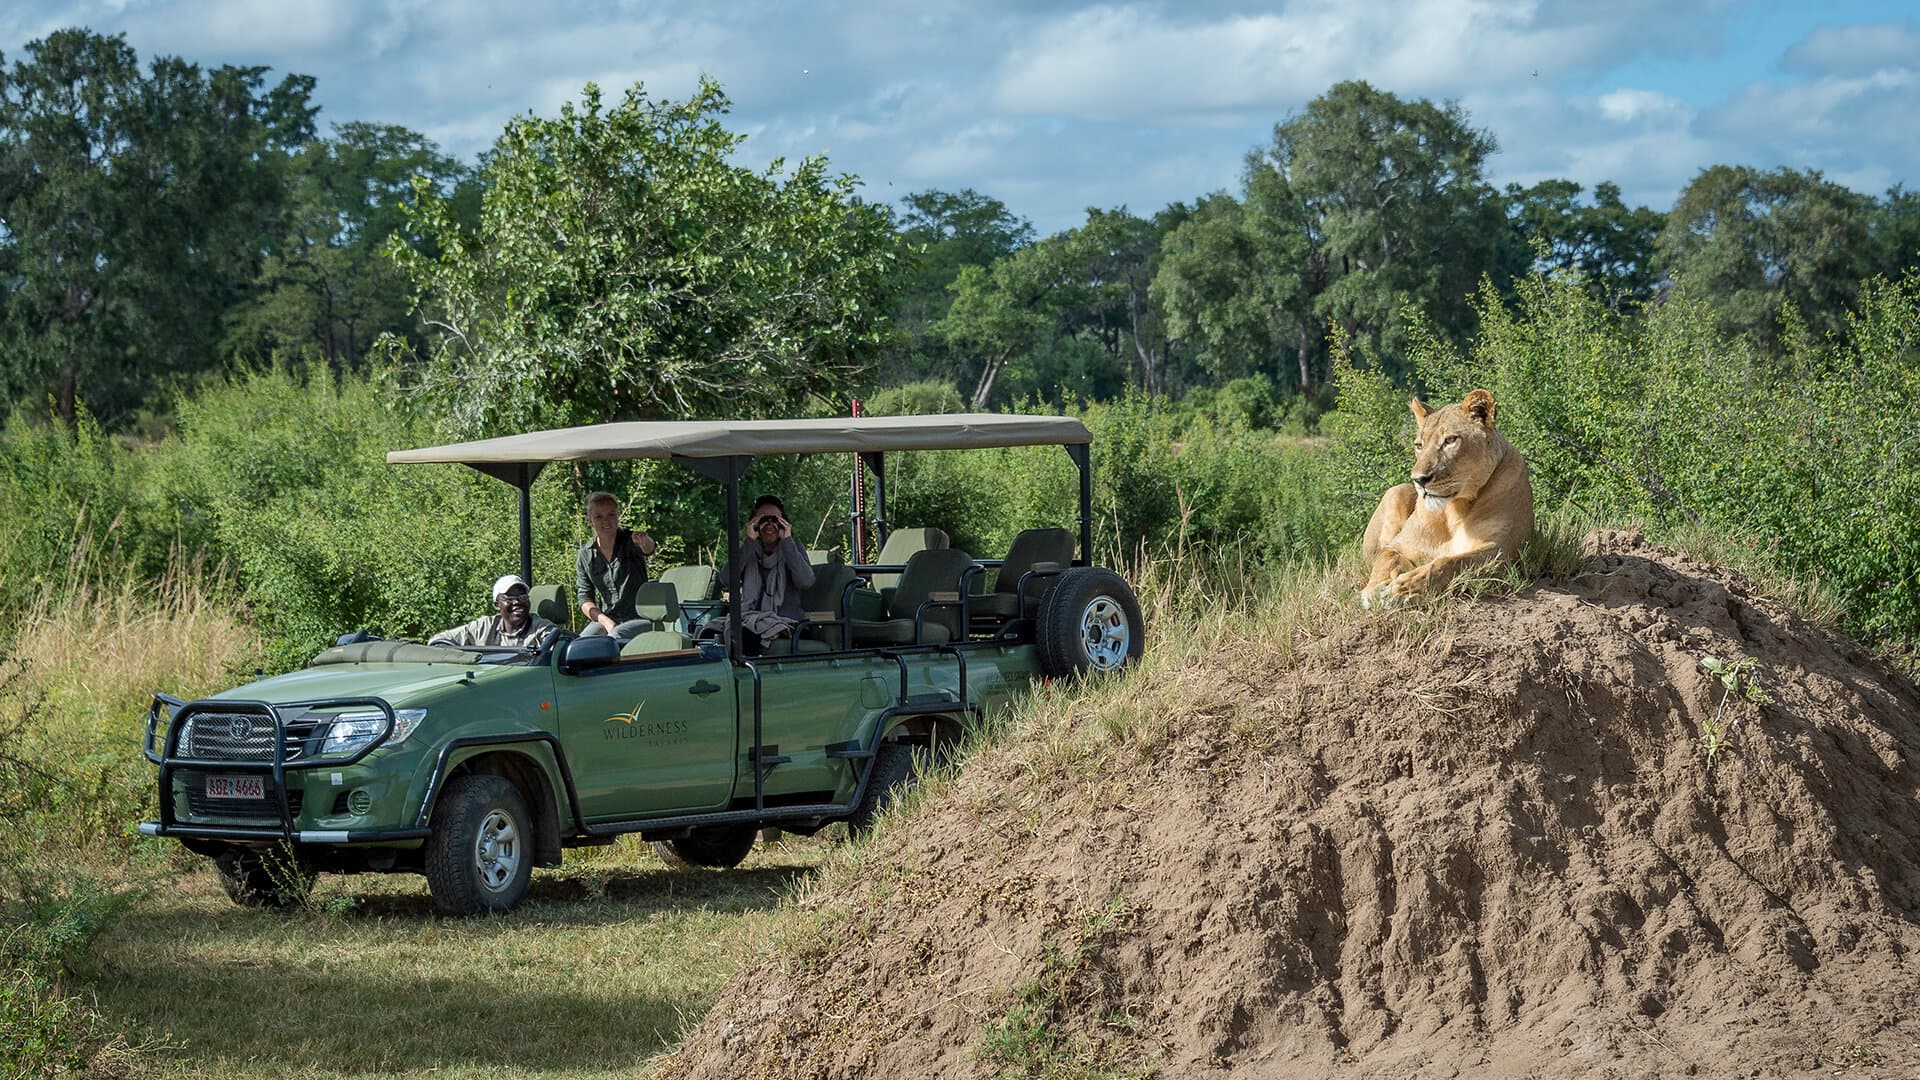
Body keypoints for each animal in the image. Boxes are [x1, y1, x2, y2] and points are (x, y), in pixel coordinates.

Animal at [1359, 388, 1533, 607]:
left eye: (1450, 440)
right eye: (1419, 445)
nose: (1418, 480)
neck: (1455, 509)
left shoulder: (1501, 553)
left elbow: (1451, 562)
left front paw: (1403, 589)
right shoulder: (1399, 545)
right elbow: (1386, 558)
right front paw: (1374, 590)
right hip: (1396, 491)